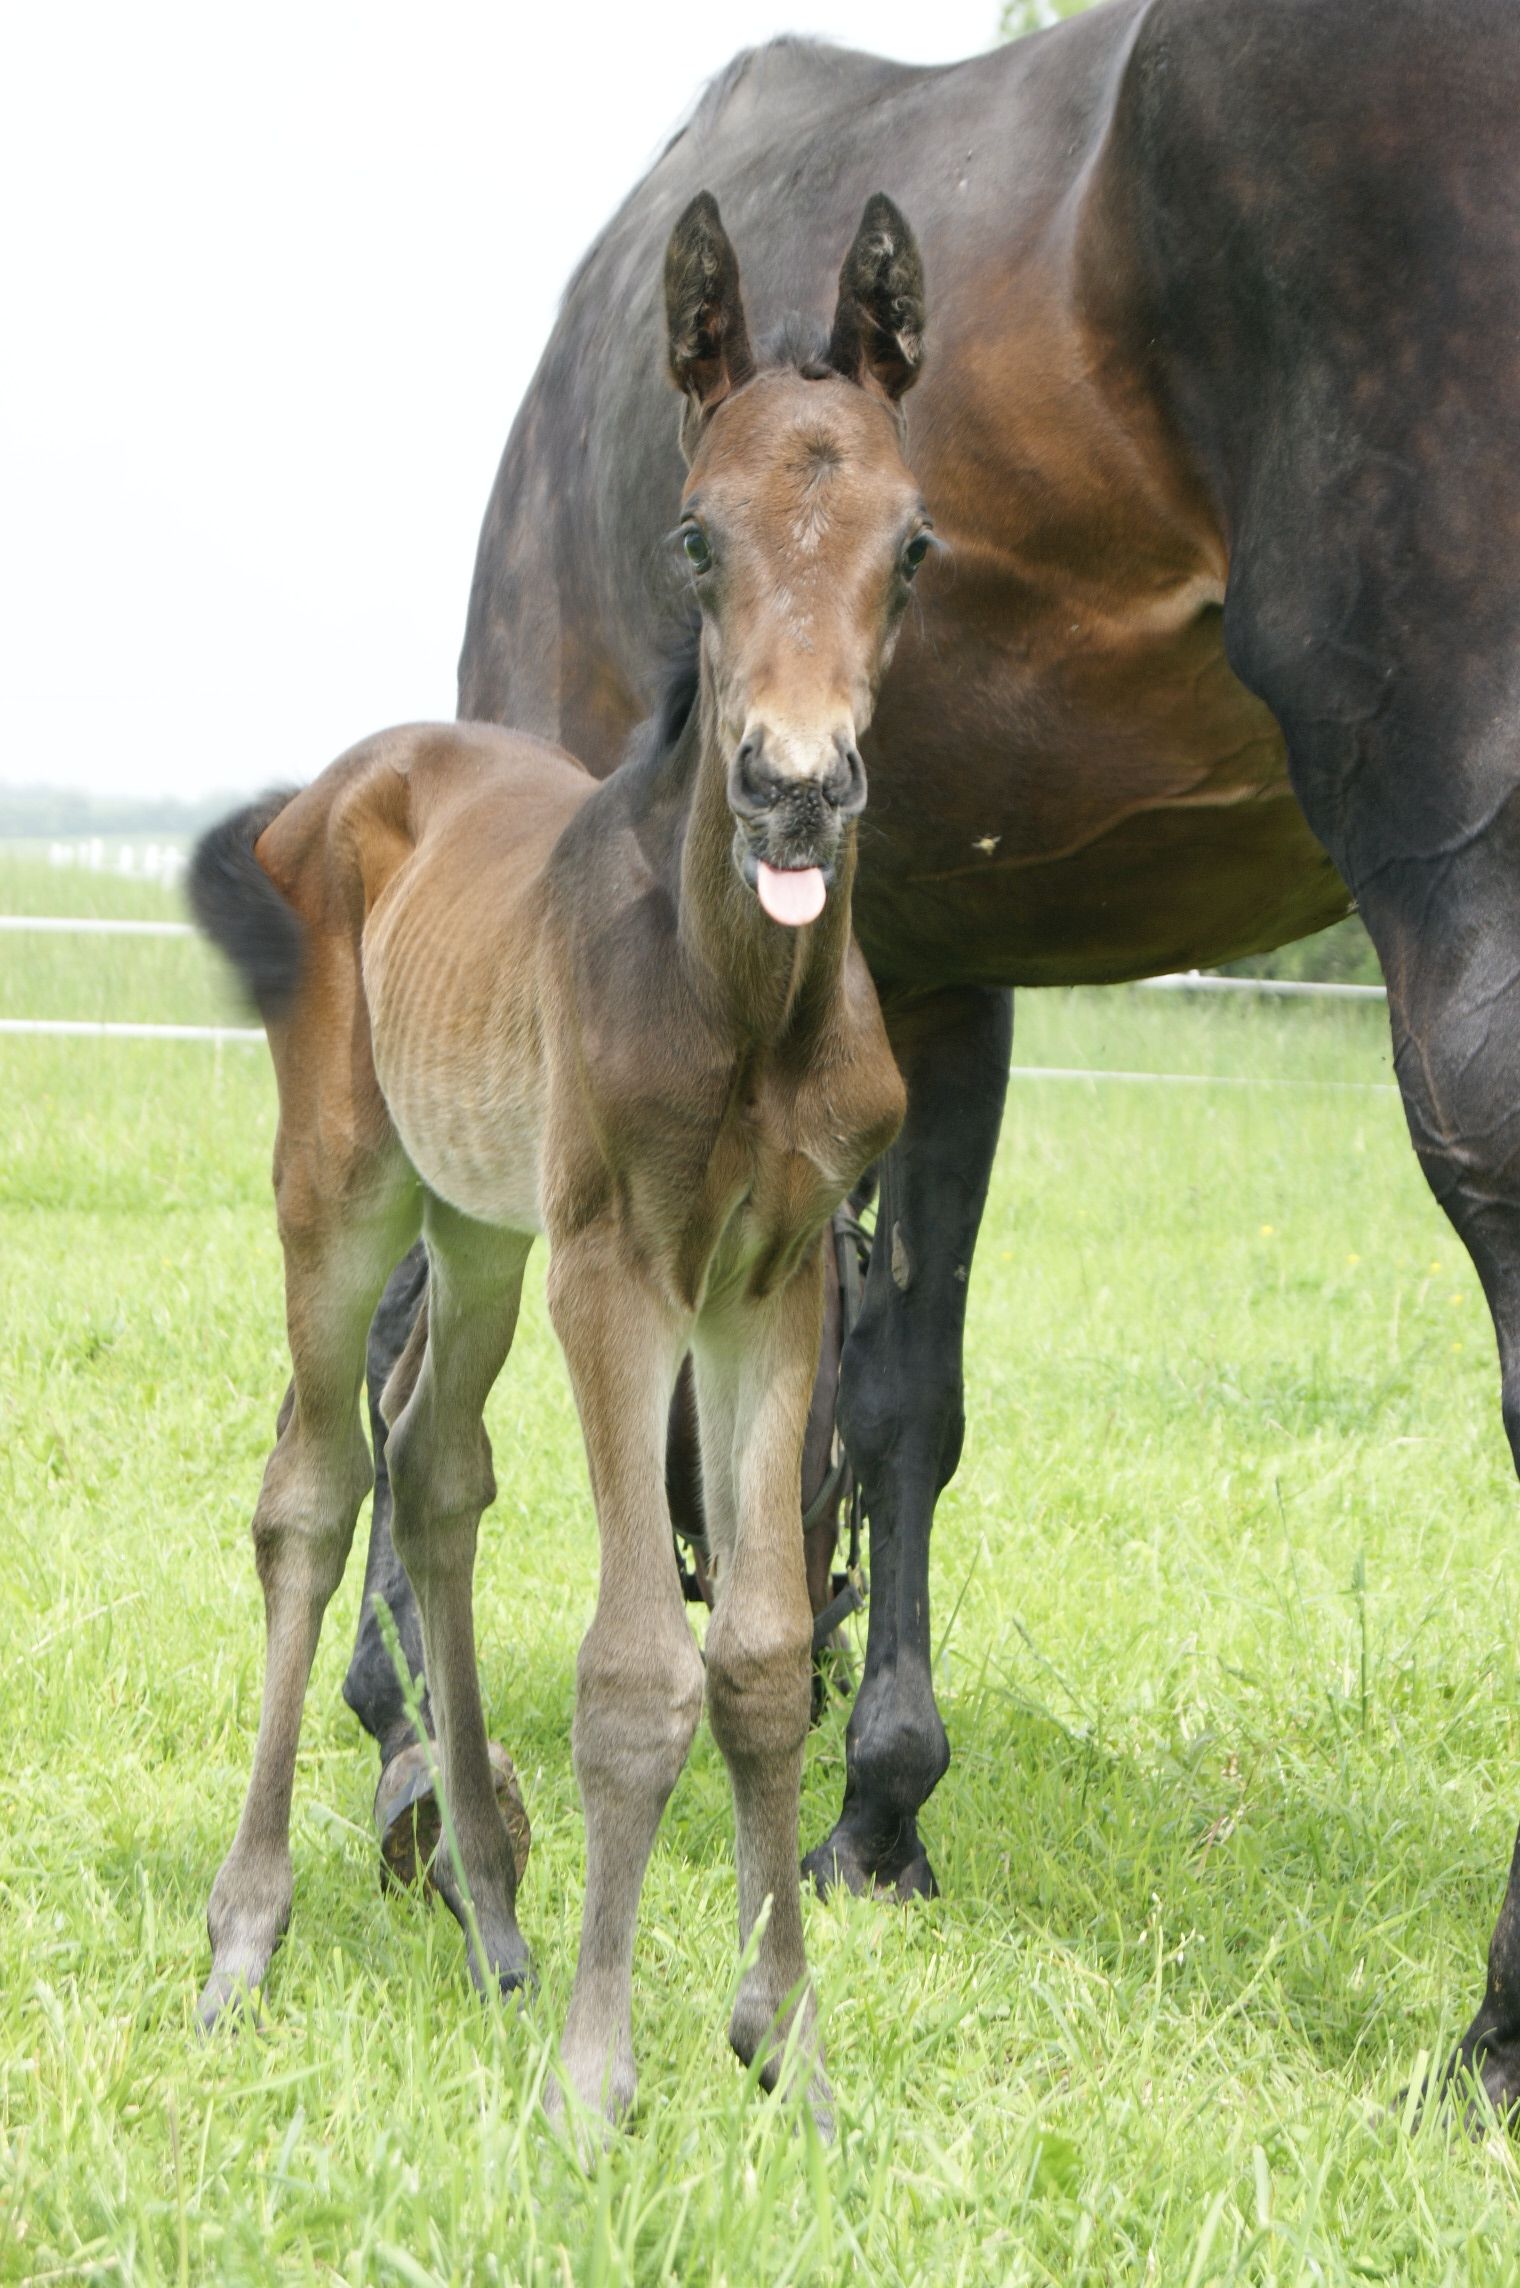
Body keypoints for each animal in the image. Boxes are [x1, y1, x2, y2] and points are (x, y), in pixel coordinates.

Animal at [190, 192, 924, 2123]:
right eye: (694, 538)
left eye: (912, 547)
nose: (795, 790)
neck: (737, 997)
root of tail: (343, 781)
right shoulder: (623, 1270)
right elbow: (633, 1670)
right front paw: (599, 2081)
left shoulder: (773, 1280)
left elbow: (759, 1657)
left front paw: (787, 2046)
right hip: (348, 1184)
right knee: (314, 1488)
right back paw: (245, 1939)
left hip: (483, 1225)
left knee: (436, 1466)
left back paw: (499, 1926)